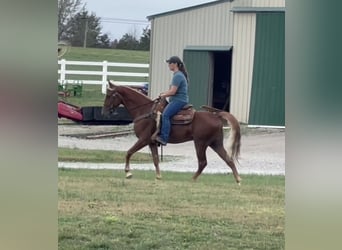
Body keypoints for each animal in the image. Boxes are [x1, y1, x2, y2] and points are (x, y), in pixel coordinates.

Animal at [102, 80, 243, 184]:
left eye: (109, 96)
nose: (104, 112)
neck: (145, 111)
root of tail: (216, 115)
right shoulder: (151, 142)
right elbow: (155, 159)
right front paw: (158, 176)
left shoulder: (143, 139)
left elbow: (129, 152)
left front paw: (128, 173)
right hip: (215, 143)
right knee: (228, 159)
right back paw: (238, 180)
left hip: (200, 143)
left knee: (203, 162)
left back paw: (192, 179)